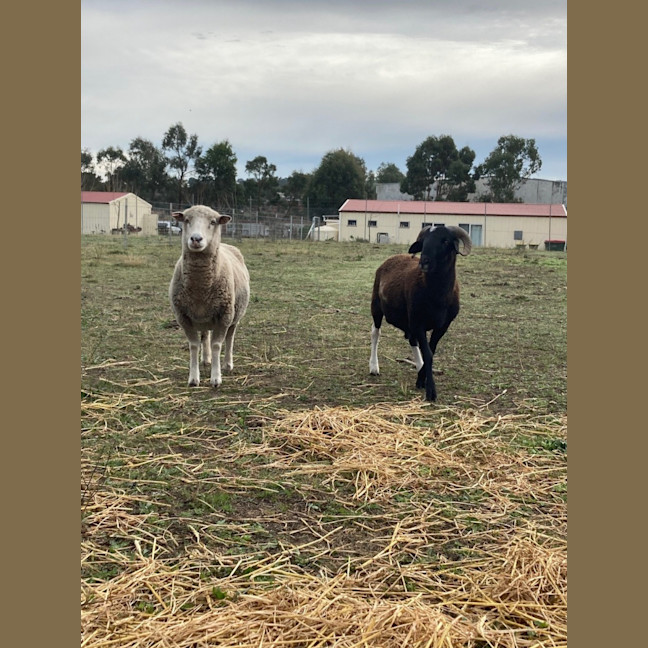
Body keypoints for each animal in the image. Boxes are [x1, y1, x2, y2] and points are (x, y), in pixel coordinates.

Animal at [169, 205, 250, 388]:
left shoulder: (224, 315)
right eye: (186, 220)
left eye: (213, 222)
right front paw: (193, 378)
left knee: (229, 338)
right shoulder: (183, 316)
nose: (196, 239)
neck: (200, 288)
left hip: (235, 315)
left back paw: (227, 364)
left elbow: (217, 345)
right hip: (204, 316)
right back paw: (206, 359)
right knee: (205, 335)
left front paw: (216, 378)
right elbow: (194, 345)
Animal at [369, 225, 472, 401]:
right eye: (423, 242)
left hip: (408, 321)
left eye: (445, 241)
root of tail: (391, 258)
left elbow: (431, 351)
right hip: (377, 306)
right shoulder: (418, 322)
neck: (437, 294)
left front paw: (421, 379)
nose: (424, 261)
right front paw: (431, 391)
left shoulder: (442, 326)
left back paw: (418, 366)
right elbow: (428, 353)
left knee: (412, 340)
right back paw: (374, 367)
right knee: (376, 333)